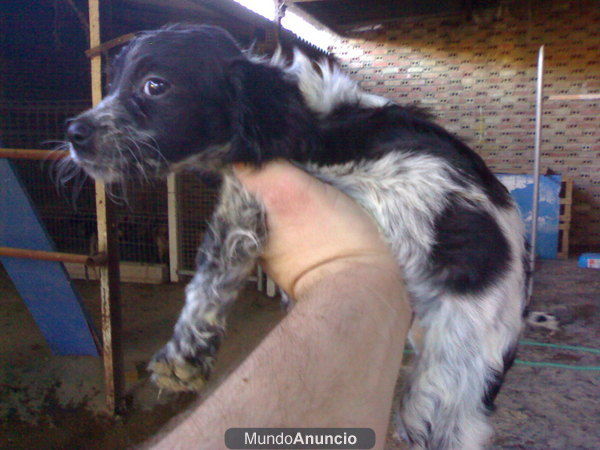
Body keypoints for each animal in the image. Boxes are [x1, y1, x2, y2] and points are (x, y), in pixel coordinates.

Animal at [64, 25, 524, 450]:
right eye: (111, 85)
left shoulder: (257, 195)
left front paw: (183, 354)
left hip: (453, 377)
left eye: (155, 85)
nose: (73, 132)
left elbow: (210, 273)